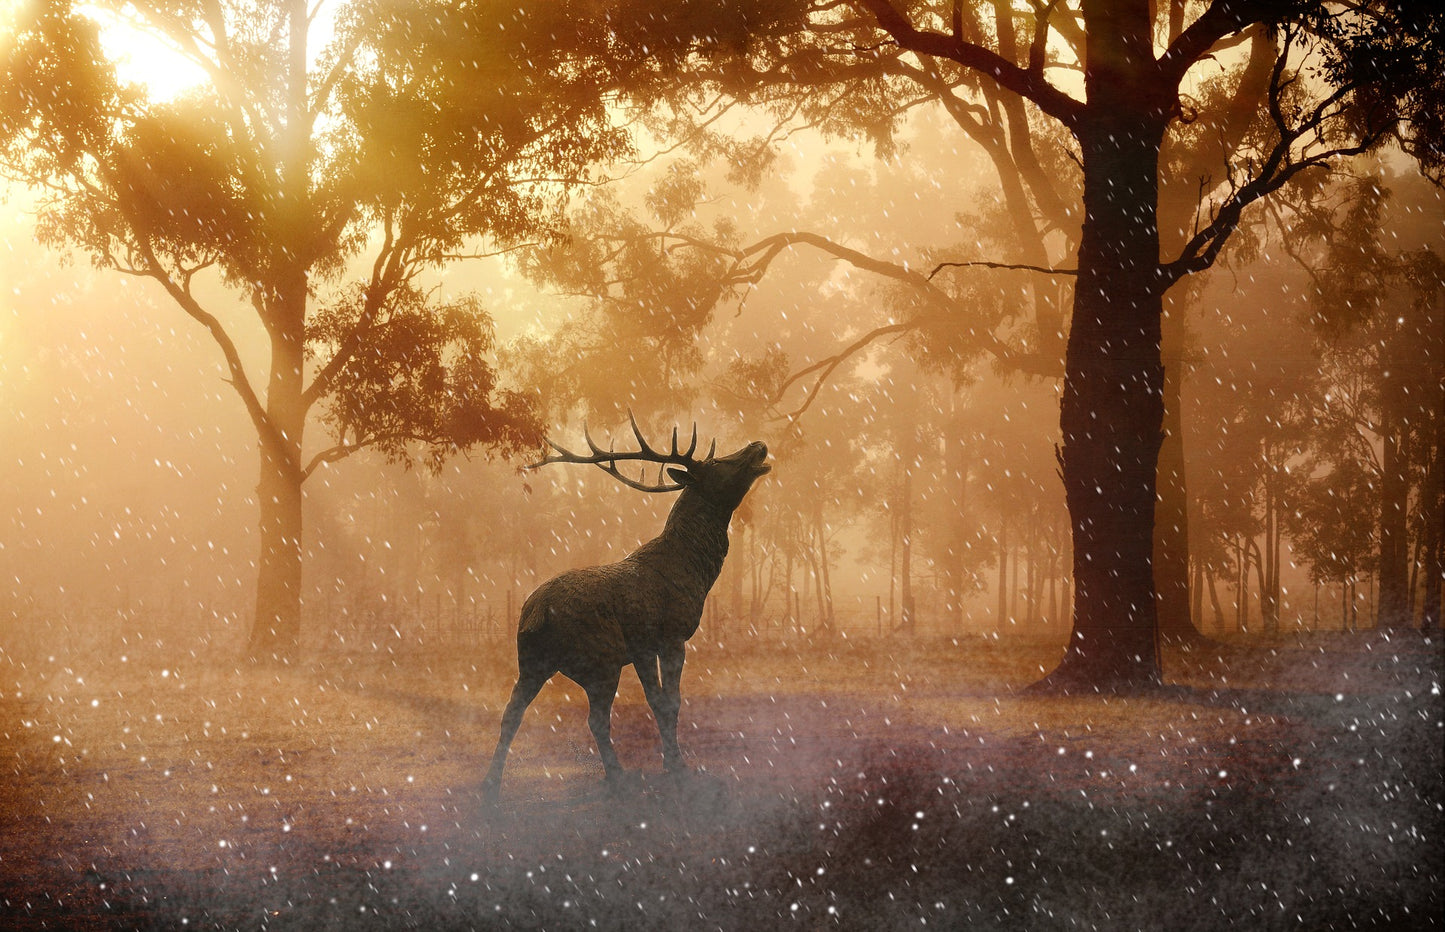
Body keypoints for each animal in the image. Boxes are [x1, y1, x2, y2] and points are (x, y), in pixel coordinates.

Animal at [481, 414, 770, 802]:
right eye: (716, 463)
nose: (758, 445)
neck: (695, 571)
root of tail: (535, 614)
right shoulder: (669, 635)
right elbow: (670, 702)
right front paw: (679, 768)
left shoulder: (642, 648)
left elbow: (657, 701)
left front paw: (669, 763)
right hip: (600, 659)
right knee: (596, 719)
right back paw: (619, 775)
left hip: (530, 661)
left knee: (511, 712)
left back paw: (491, 784)